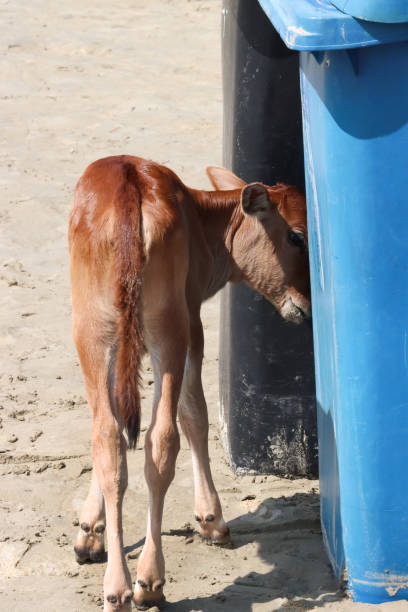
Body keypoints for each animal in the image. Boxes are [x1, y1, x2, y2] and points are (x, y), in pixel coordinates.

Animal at [68, 155, 310, 608]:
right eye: (297, 236)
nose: (305, 306)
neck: (201, 219)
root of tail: (128, 186)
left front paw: (90, 530)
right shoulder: (194, 321)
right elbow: (195, 415)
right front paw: (211, 516)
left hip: (91, 330)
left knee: (108, 438)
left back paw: (116, 586)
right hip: (170, 329)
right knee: (161, 439)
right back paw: (148, 581)